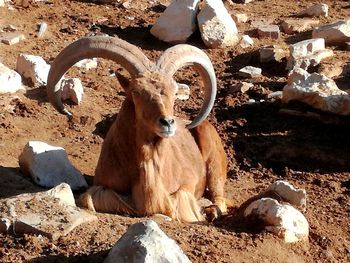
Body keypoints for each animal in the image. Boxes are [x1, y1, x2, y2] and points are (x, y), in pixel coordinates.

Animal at [46, 36, 227, 223]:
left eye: (174, 91)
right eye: (136, 92)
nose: (167, 123)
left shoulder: (184, 188)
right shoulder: (101, 187)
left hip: (215, 165)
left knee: (219, 197)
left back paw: (211, 210)